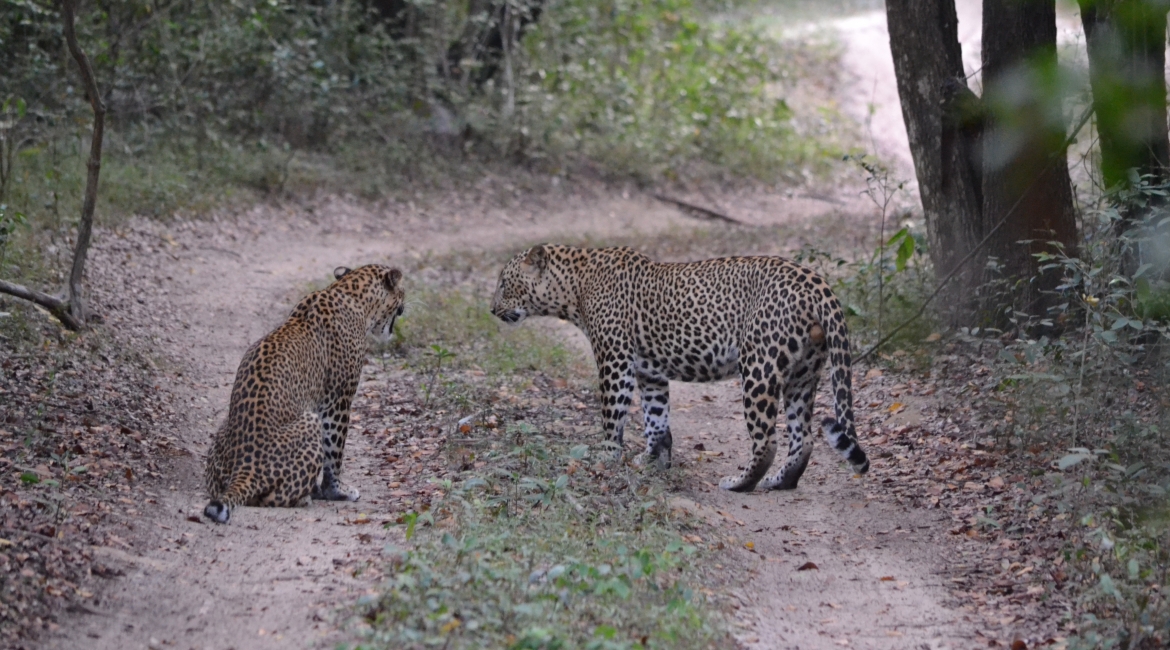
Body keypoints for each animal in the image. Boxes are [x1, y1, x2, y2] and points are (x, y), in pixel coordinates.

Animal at [201, 264, 402, 523]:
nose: (405, 300)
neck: (350, 293)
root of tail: (245, 468)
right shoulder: (338, 399)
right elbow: (334, 452)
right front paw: (338, 491)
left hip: (222, 437)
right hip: (310, 421)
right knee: (270, 498)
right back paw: (304, 498)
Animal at [489, 246, 865, 491]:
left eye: (505, 284)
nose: (491, 310)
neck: (573, 287)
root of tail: (816, 281)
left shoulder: (615, 361)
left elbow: (612, 416)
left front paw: (605, 459)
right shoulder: (649, 372)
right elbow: (656, 420)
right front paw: (654, 462)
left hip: (759, 366)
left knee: (767, 440)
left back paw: (740, 482)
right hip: (804, 373)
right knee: (803, 438)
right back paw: (781, 481)